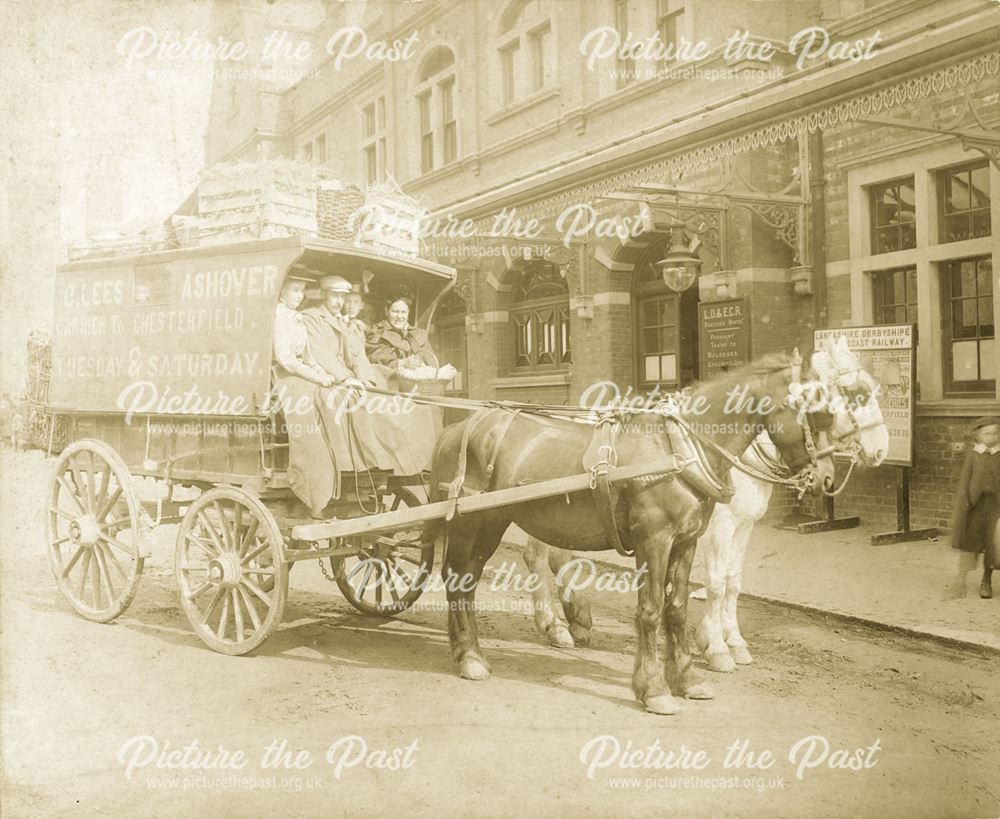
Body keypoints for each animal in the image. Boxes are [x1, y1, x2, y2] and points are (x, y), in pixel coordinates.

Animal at [424, 356, 836, 716]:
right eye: (818, 411)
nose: (827, 479)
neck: (678, 450)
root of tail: (455, 428)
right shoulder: (654, 542)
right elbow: (650, 611)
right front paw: (654, 688)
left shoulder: (686, 542)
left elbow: (677, 608)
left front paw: (687, 679)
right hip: (471, 523)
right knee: (459, 579)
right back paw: (471, 656)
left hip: (492, 523)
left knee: (470, 578)